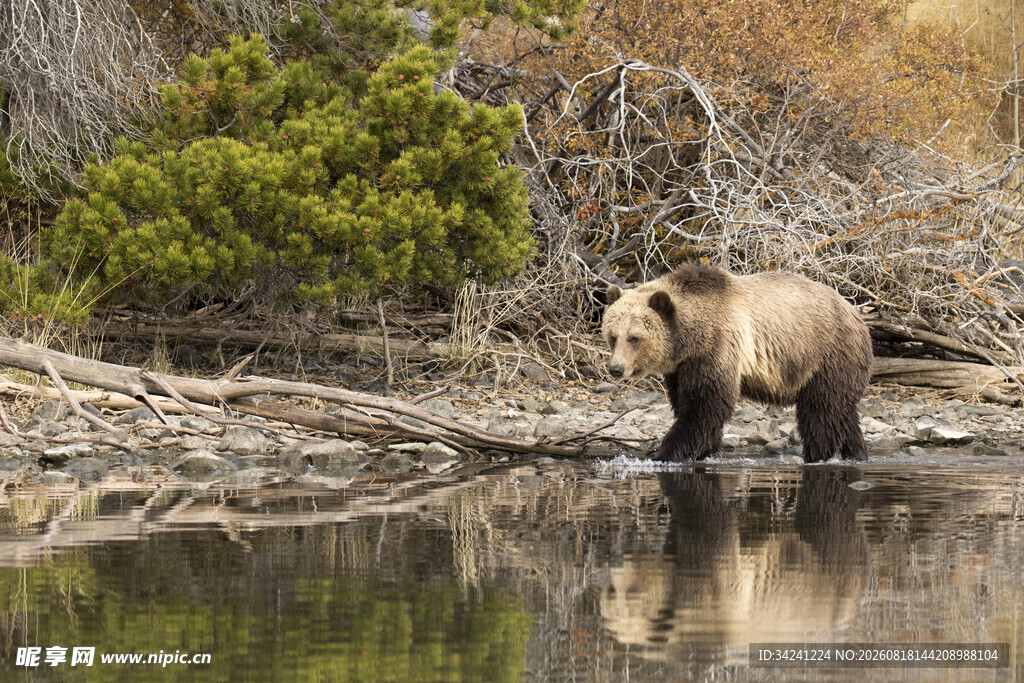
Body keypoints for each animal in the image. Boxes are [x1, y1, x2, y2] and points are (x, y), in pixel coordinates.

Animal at [601, 263, 872, 462]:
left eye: (634, 338)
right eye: (613, 336)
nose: (616, 369)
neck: (692, 338)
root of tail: (855, 312)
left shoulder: (718, 348)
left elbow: (705, 405)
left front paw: (665, 452)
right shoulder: (682, 367)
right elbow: (686, 402)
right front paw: (704, 450)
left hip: (826, 354)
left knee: (821, 411)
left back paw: (817, 454)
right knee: (843, 411)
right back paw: (857, 452)